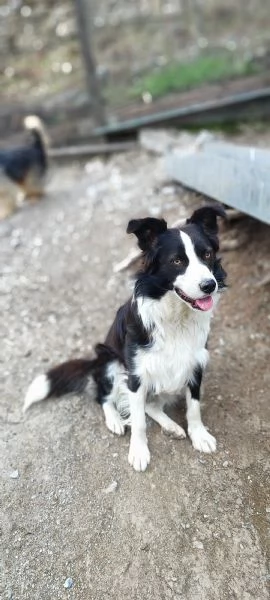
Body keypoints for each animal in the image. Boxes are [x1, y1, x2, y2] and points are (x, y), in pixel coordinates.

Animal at [24, 206, 227, 474]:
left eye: (207, 254)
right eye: (177, 261)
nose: (209, 285)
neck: (175, 316)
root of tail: (95, 361)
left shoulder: (194, 361)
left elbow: (193, 406)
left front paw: (199, 435)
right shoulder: (137, 373)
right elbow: (138, 420)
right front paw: (138, 451)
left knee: (152, 405)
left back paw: (171, 427)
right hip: (111, 363)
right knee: (104, 397)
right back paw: (115, 421)